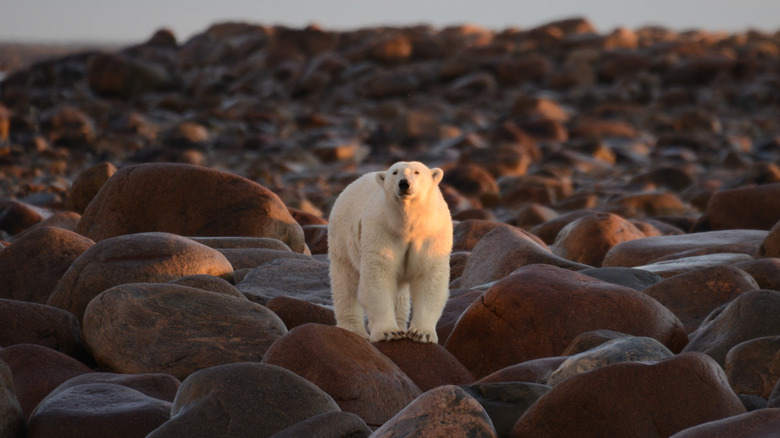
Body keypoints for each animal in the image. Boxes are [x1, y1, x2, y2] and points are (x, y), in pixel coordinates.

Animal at [328, 161, 450, 342]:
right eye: (395, 172)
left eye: (417, 172)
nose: (404, 183)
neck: (406, 225)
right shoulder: (382, 230)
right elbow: (379, 275)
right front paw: (389, 332)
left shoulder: (431, 234)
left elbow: (429, 277)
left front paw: (421, 333)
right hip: (342, 237)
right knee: (345, 280)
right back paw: (353, 329)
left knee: (400, 295)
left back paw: (400, 324)